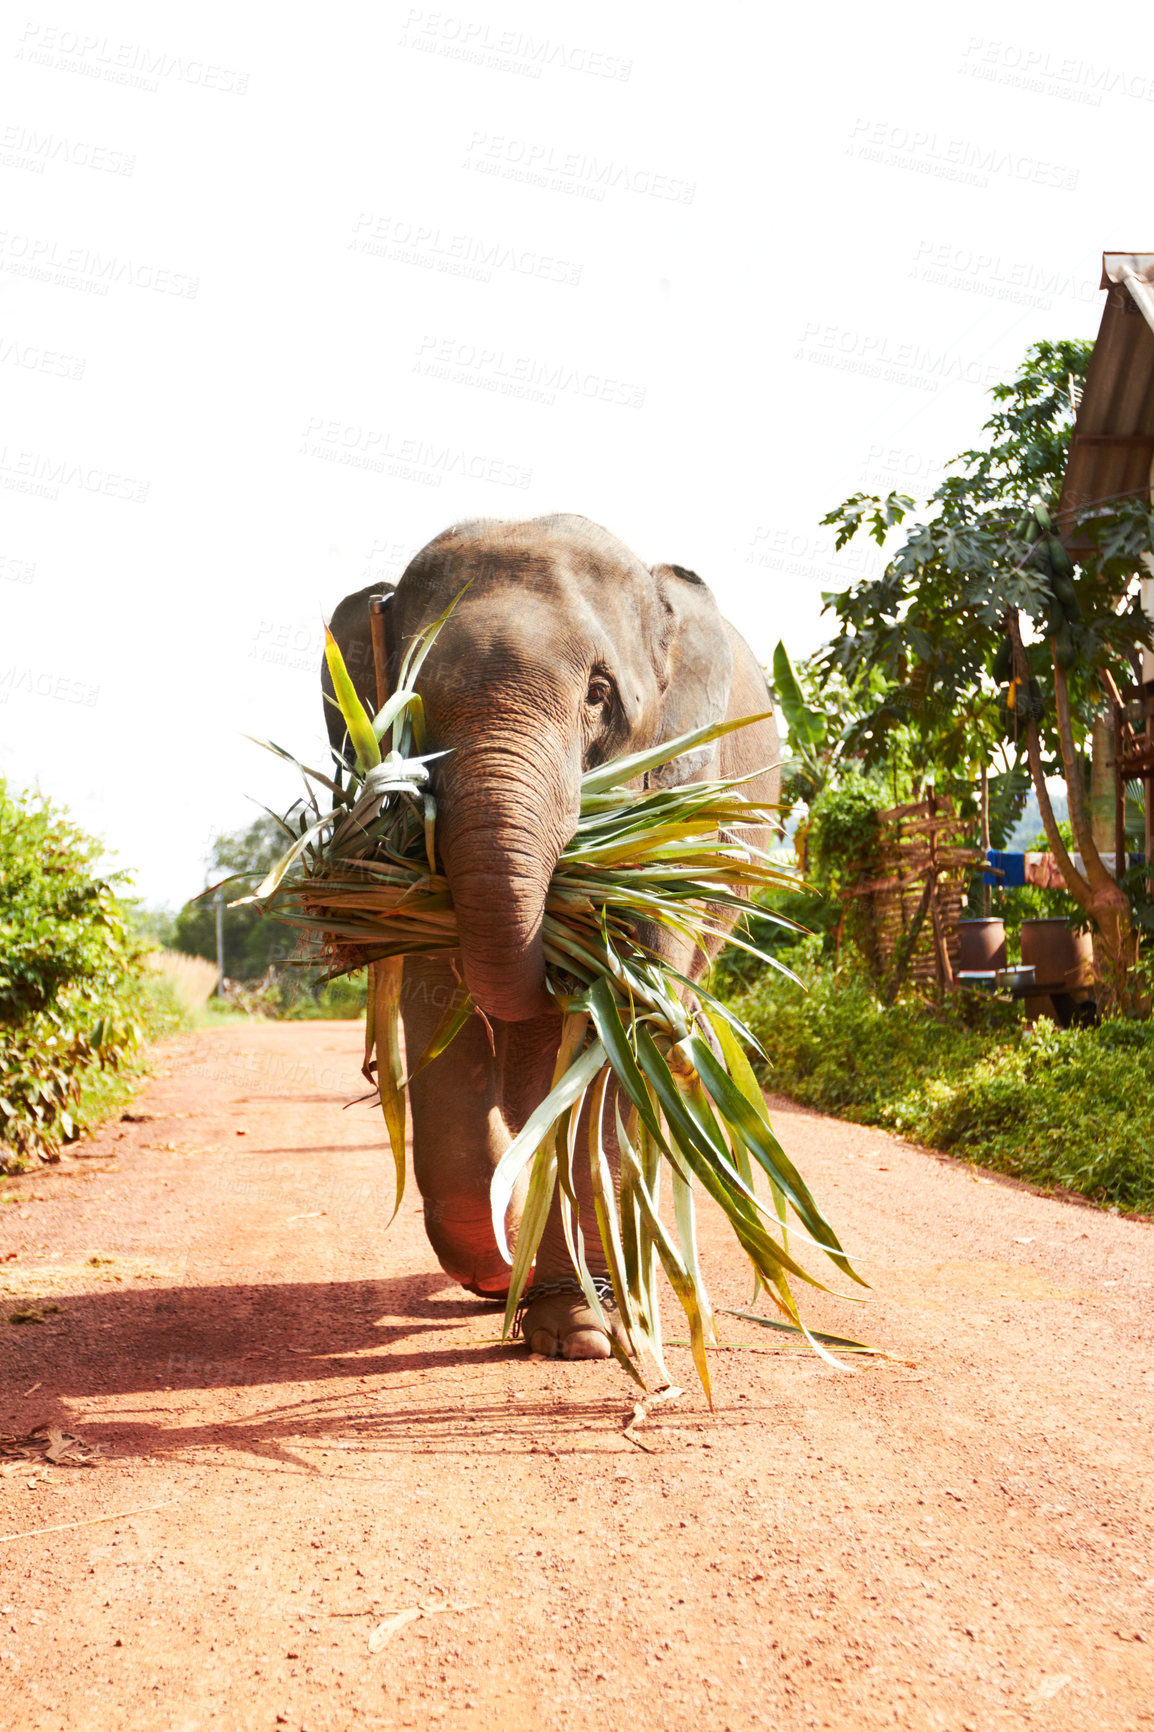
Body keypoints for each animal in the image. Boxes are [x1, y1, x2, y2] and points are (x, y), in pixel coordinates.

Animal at [323, 514, 779, 1360]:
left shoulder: (677, 805)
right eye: (411, 704)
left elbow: (612, 1046)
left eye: (598, 694)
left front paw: (588, 1330)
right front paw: (521, 1286)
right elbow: (440, 1017)